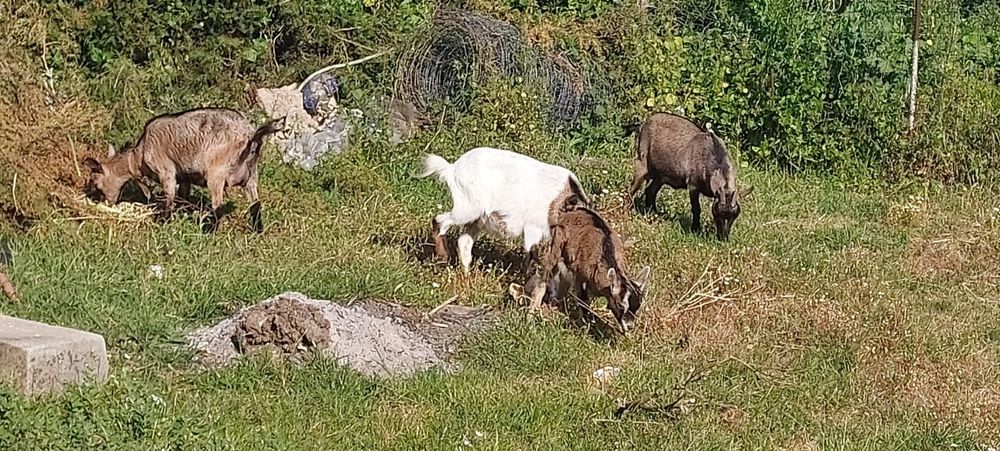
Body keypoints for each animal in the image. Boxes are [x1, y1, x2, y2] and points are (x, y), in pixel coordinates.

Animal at [83, 108, 284, 232]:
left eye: (97, 184)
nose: (103, 202)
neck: (138, 156)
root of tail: (251, 136)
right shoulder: (185, 176)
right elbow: (183, 197)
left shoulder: (167, 172)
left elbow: (169, 198)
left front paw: (163, 223)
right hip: (251, 175)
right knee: (255, 204)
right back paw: (257, 231)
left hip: (217, 173)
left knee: (218, 206)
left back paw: (208, 232)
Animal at [416, 146, 591, 274]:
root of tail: (452, 169)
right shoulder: (533, 228)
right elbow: (531, 254)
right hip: (467, 208)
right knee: (439, 221)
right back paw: (443, 257)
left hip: (477, 219)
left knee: (464, 241)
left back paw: (467, 275)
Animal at [528, 203, 651, 333]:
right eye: (621, 305)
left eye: (638, 305)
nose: (629, 327)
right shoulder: (580, 276)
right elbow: (583, 301)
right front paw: (584, 327)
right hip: (555, 244)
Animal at [625, 112, 752, 241]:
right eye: (716, 213)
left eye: (735, 216)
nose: (723, 238)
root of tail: (645, 122)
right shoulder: (693, 185)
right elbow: (696, 209)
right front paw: (695, 229)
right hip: (642, 162)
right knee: (632, 189)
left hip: (660, 176)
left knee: (650, 191)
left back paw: (652, 214)